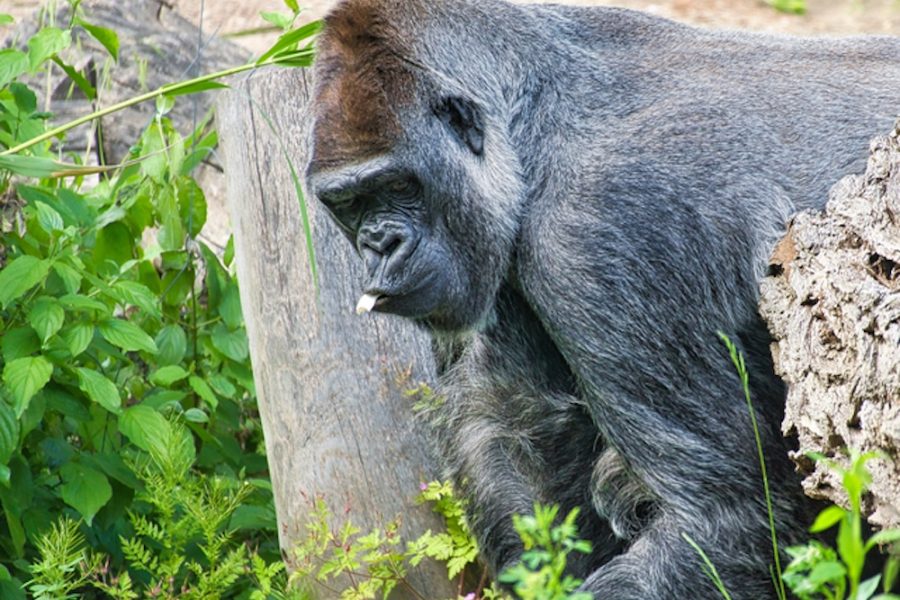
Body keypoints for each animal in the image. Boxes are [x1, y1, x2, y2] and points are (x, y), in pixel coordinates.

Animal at [304, 2, 900, 596]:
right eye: (348, 202)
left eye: (399, 185)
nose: (379, 244)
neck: (533, 122)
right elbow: (522, 445)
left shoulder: (606, 228)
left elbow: (723, 514)